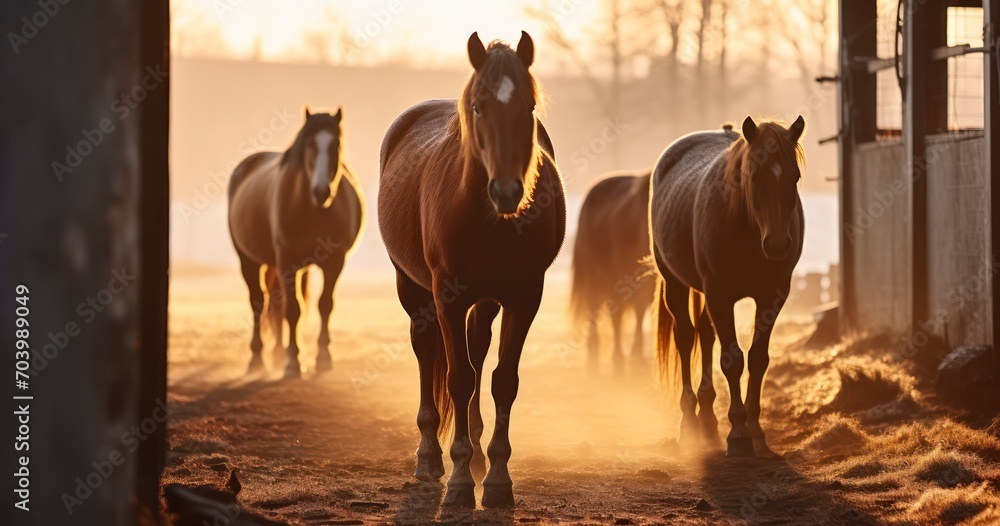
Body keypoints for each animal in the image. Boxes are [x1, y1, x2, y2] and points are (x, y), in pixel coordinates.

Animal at [228, 107, 364, 379]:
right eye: (309, 144)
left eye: (336, 144)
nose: (322, 191)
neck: (313, 210)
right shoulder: (288, 260)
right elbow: (293, 309)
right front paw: (293, 362)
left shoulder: (334, 262)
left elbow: (324, 305)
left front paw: (322, 358)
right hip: (248, 261)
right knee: (259, 303)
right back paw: (257, 359)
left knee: (276, 302)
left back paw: (277, 354)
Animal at [377, 31, 565, 508]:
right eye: (478, 107)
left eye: (529, 107)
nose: (507, 191)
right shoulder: (448, 297)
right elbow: (459, 379)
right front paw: (459, 481)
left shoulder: (523, 297)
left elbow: (502, 381)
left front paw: (496, 478)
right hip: (413, 289)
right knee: (426, 351)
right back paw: (429, 458)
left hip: (486, 300)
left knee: (478, 352)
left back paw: (478, 456)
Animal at [649, 116, 805, 458]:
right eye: (754, 176)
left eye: (795, 177)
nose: (777, 245)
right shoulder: (720, 295)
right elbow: (732, 360)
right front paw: (738, 433)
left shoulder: (772, 295)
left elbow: (757, 359)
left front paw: (756, 430)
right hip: (675, 284)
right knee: (686, 338)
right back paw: (689, 419)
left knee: (705, 335)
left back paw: (708, 417)